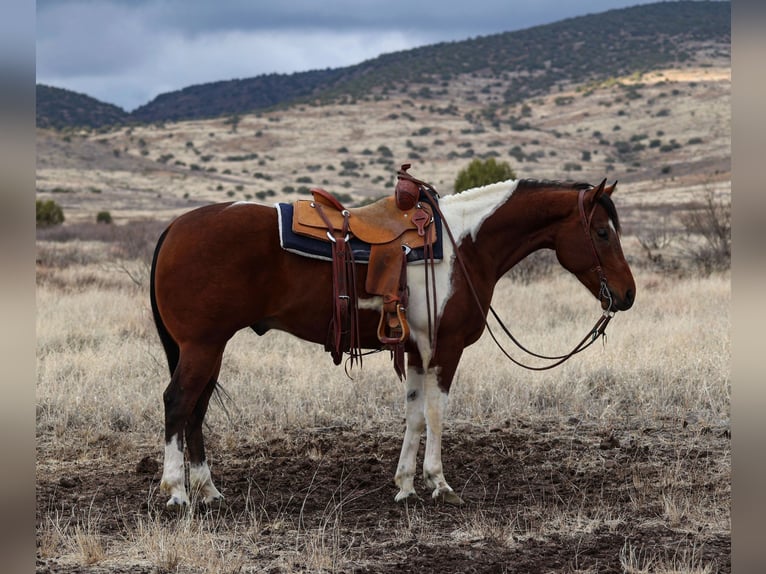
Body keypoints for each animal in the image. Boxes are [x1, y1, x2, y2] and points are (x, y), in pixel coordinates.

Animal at [150, 176, 636, 508]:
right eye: (602, 232)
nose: (627, 294)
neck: (465, 246)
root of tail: (174, 228)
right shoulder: (445, 349)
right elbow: (437, 412)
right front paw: (439, 483)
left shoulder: (417, 351)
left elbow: (415, 415)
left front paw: (405, 485)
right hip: (202, 346)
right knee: (178, 402)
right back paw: (177, 493)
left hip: (209, 349)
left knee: (197, 410)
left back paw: (209, 490)